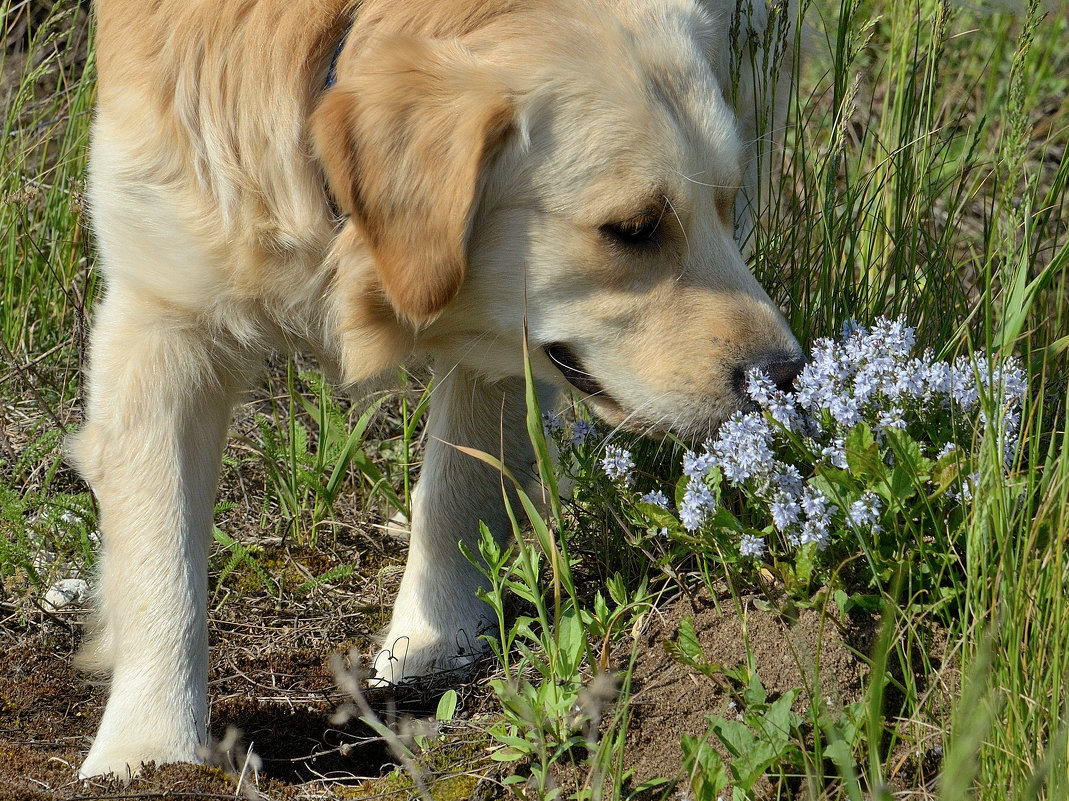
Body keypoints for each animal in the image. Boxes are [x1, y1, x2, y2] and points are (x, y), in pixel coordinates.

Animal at [73, 0, 803, 778]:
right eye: (632, 229)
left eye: (722, 202)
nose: (788, 375)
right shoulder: (160, 309)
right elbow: (161, 555)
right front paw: (147, 751)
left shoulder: (504, 333)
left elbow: (457, 490)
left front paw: (428, 649)